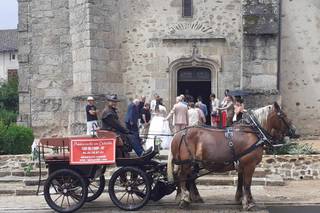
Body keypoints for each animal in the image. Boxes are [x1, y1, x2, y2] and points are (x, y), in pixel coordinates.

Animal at [168, 102, 298, 211]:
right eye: (283, 115)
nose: (294, 131)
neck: (253, 131)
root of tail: (179, 134)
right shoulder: (249, 165)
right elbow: (247, 183)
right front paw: (249, 203)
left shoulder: (242, 165)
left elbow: (241, 182)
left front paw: (241, 199)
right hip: (187, 162)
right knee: (182, 177)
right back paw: (184, 199)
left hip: (191, 163)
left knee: (187, 177)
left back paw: (189, 197)